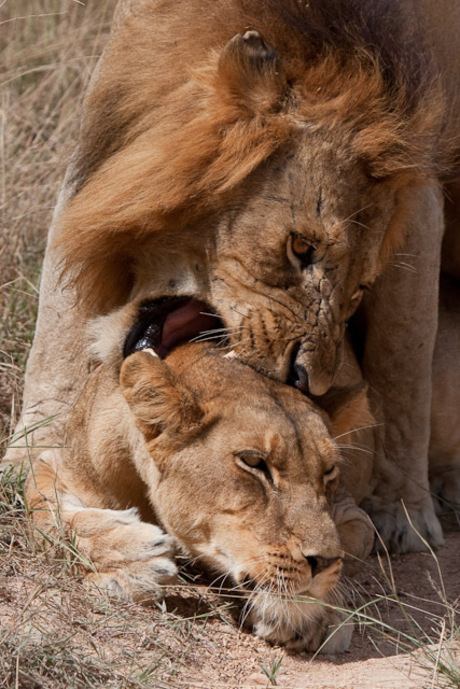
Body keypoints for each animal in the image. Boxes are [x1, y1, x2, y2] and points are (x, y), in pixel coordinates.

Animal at [6, 0, 460, 552]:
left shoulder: (423, 189)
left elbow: (402, 368)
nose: (309, 383)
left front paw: (403, 514)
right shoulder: (107, 132)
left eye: (359, 290)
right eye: (300, 247)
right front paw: (36, 452)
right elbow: (61, 319)